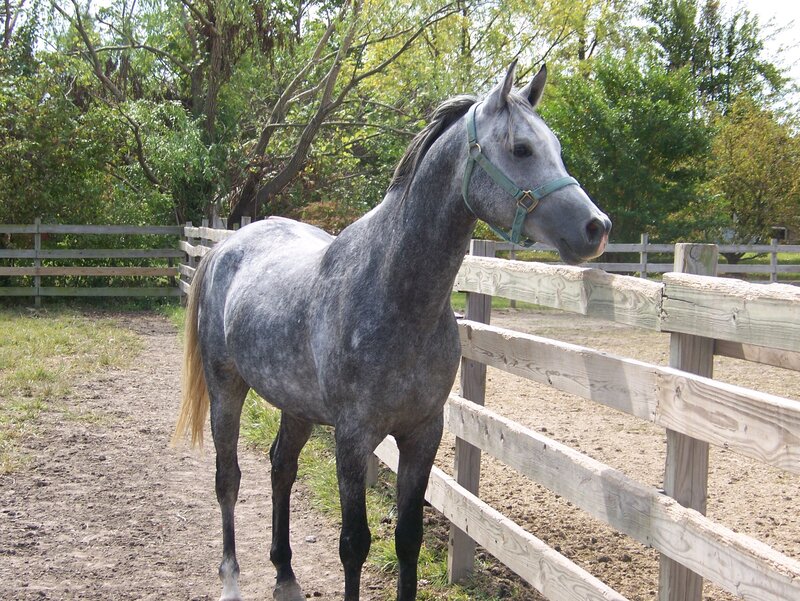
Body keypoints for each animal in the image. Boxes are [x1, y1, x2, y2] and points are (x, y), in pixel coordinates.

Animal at [174, 60, 611, 601]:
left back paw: (286, 574)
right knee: (228, 478)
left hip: (296, 406)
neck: (393, 293)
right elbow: (354, 544)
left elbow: (408, 538)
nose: (597, 227)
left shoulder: (423, 433)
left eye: (556, 147)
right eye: (521, 148)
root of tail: (225, 246)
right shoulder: (353, 437)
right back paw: (232, 579)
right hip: (226, 388)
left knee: (281, 468)